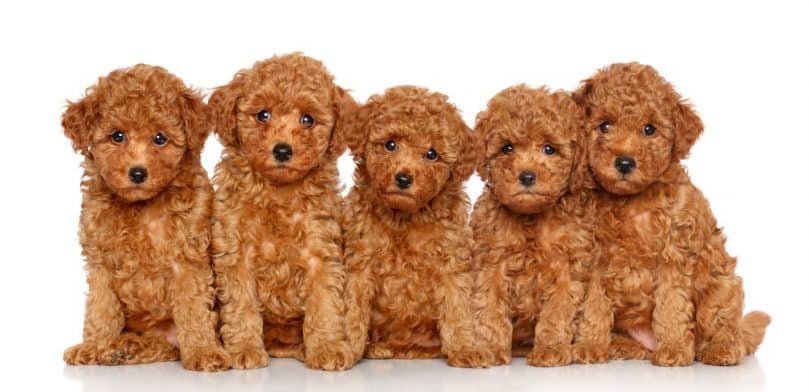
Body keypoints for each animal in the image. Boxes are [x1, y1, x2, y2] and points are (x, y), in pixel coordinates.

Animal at [60, 64, 227, 370]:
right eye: (117, 136)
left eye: (160, 139)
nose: (137, 173)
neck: (140, 206)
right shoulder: (101, 261)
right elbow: (100, 309)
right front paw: (94, 345)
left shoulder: (187, 258)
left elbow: (194, 307)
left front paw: (204, 352)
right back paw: (123, 348)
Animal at [210, 52, 356, 370]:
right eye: (262, 115)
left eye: (308, 119)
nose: (282, 150)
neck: (277, 192)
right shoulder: (236, 252)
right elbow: (241, 305)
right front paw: (244, 349)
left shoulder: (320, 250)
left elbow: (324, 303)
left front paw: (327, 347)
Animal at [340, 85, 486, 368]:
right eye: (390, 145)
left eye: (432, 154)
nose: (404, 178)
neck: (404, 218)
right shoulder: (359, 261)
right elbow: (353, 309)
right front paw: (347, 348)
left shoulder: (451, 261)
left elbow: (458, 307)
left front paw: (464, 349)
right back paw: (376, 348)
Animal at [474, 86, 608, 368]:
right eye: (507, 148)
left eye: (549, 149)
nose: (526, 176)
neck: (532, 217)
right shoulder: (490, 262)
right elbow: (489, 307)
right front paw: (490, 347)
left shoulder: (568, 266)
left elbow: (558, 310)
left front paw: (551, 349)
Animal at [576, 62, 772, 366]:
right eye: (604, 125)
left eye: (649, 129)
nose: (624, 162)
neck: (630, 201)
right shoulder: (595, 259)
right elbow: (593, 305)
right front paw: (590, 345)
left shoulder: (673, 256)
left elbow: (671, 304)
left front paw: (674, 350)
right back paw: (619, 346)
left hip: (722, 288)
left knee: (726, 328)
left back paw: (721, 348)